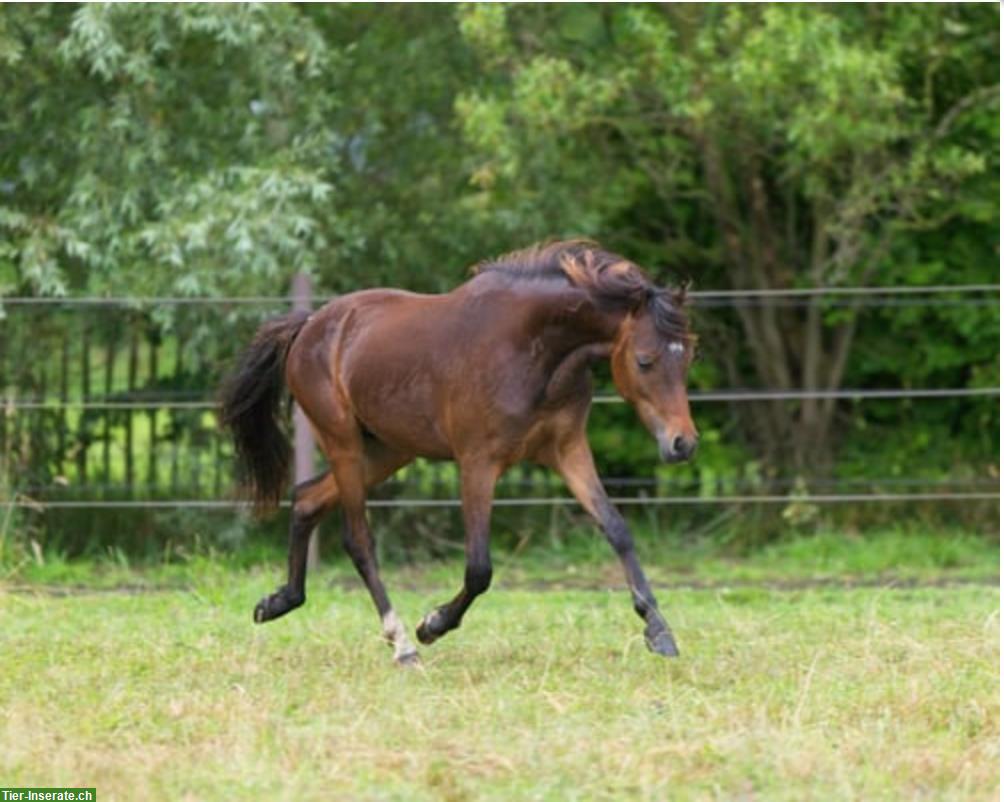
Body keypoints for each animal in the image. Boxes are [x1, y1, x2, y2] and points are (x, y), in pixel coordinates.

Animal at [220, 240, 698, 665]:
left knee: (306, 499)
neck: (534, 350)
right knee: (358, 540)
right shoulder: (478, 464)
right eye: (644, 360)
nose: (683, 443)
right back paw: (401, 644)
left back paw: (278, 601)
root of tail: (311, 324)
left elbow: (616, 529)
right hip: (344, 445)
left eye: (689, 357)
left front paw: (659, 631)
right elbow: (479, 568)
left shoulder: (568, 450)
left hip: (387, 450)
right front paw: (432, 625)